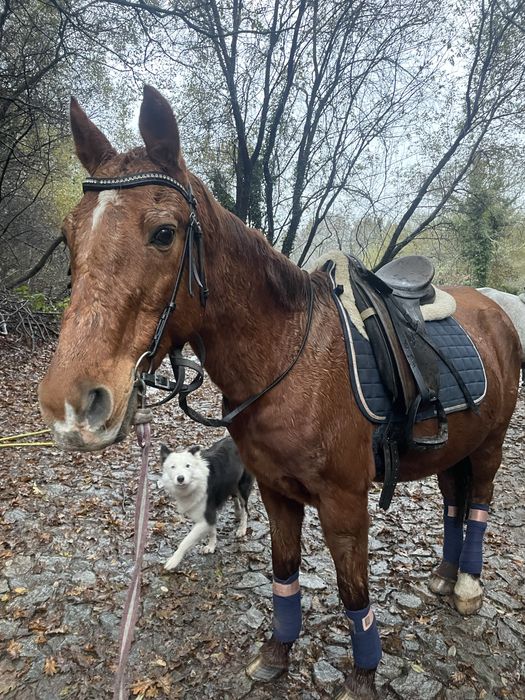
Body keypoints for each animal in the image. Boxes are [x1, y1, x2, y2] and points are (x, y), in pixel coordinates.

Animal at [38, 86, 521, 699]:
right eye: (69, 235)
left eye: (164, 232)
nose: (71, 403)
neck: (289, 362)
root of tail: (495, 309)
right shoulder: (274, 492)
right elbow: (284, 572)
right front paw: (277, 652)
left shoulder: (345, 504)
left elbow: (354, 591)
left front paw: (364, 674)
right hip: (454, 446)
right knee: (454, 502)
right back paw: (442, 577)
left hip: (490, 443)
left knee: (477, 500)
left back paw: (466, 587)